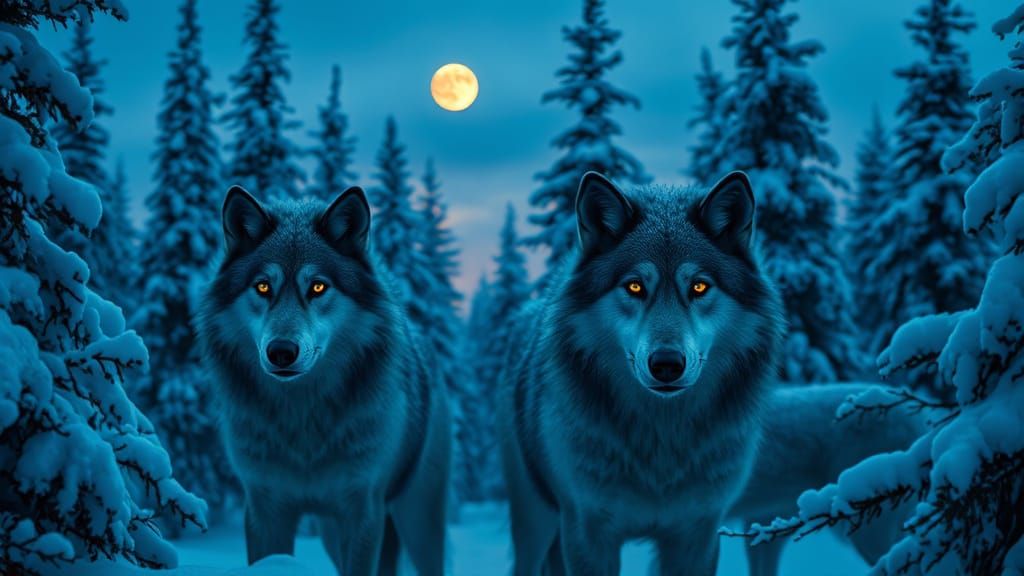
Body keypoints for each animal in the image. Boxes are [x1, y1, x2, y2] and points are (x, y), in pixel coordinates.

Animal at [195, 185, 450, 576]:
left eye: (317, 287)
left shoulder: (363, 512)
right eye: (263, 287)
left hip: (418, 522)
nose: (281, 352)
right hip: (332, 531)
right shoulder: (266, 508)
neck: (303, 422)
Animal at [500, 171, 786, 576]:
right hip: (534, 520)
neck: (660, 442)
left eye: (699, 286)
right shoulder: (587, 532)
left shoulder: (695, 534)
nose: (666, 364)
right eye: (635, 286)